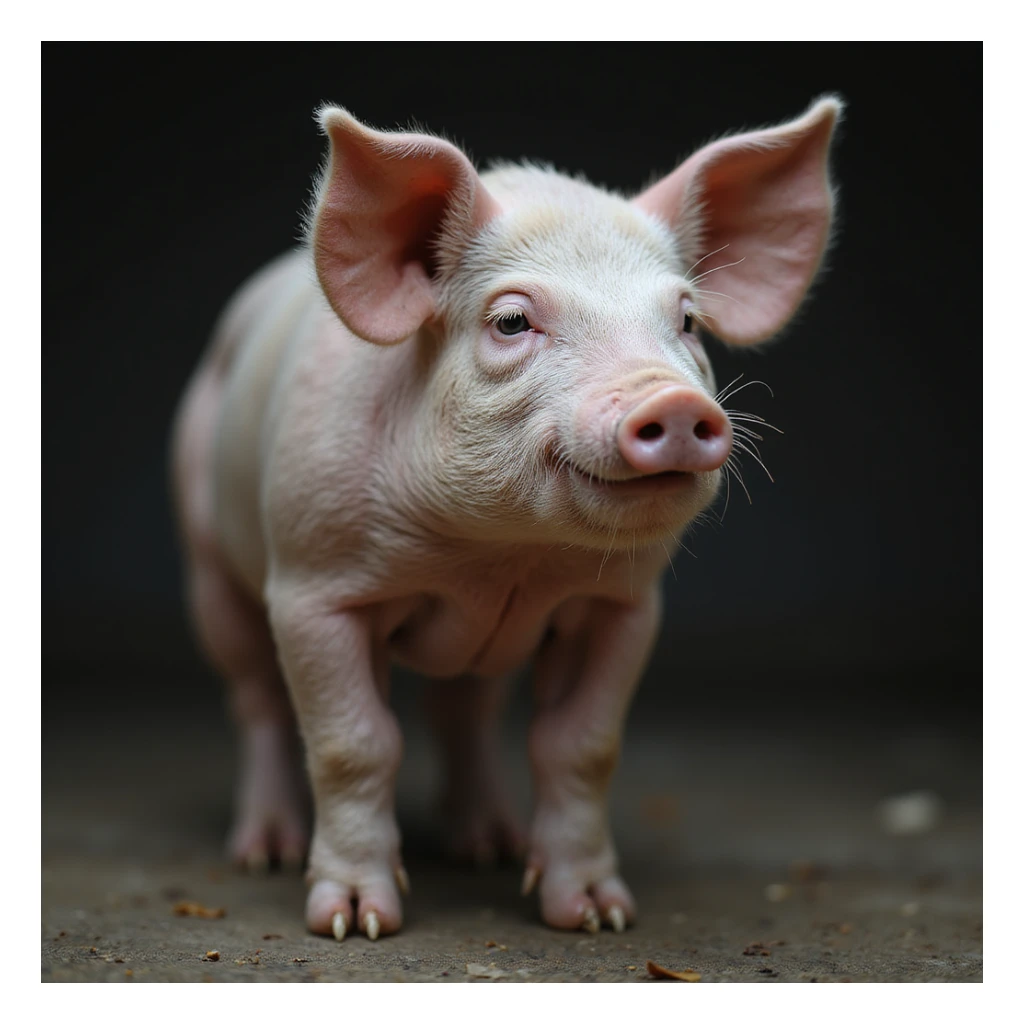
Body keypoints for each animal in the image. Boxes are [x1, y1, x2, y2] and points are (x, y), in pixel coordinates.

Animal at [171, 96, 842, 941]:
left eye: (687, 320)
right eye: (513, 321)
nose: (674, 402)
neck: (499, 559)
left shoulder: (625, 605)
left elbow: (581, 745)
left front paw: (596, 916)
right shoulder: (311, 584)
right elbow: (354, 743)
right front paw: (356, 922)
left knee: (466, 710)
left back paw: (489, 845)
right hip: (209, 558)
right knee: (256, 695)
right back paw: (264, 852)